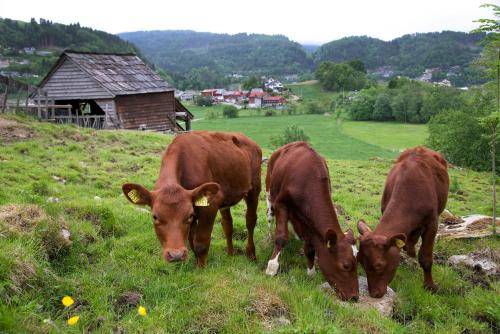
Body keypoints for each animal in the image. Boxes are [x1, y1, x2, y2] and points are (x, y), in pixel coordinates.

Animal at [122, 130, 262, 266]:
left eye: (189, 215)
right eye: (155, 217)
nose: (176, 255)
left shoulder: (210, 205)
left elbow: (201, 242)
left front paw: (201, 268)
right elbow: (191, 241)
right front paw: (196, 263)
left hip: (254, 189)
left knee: (250, 220)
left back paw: (251, 254)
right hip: (226, 197)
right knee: (227, 223)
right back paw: (230, 254)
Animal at [266, 141, 360, 300]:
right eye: (345, 265)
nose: (354, 297)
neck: (308, 182)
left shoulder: (310, 221)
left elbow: (310, 248)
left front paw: (310, 272)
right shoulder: (281, 204)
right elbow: (281, 238)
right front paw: (272, 267)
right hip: (269, 190)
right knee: (270, 213)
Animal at [356, 146, 450, 298]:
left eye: (379, 265)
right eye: (361, 263)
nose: (374, 294)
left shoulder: (432, 223)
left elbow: (426, 258)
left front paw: (430, 286)